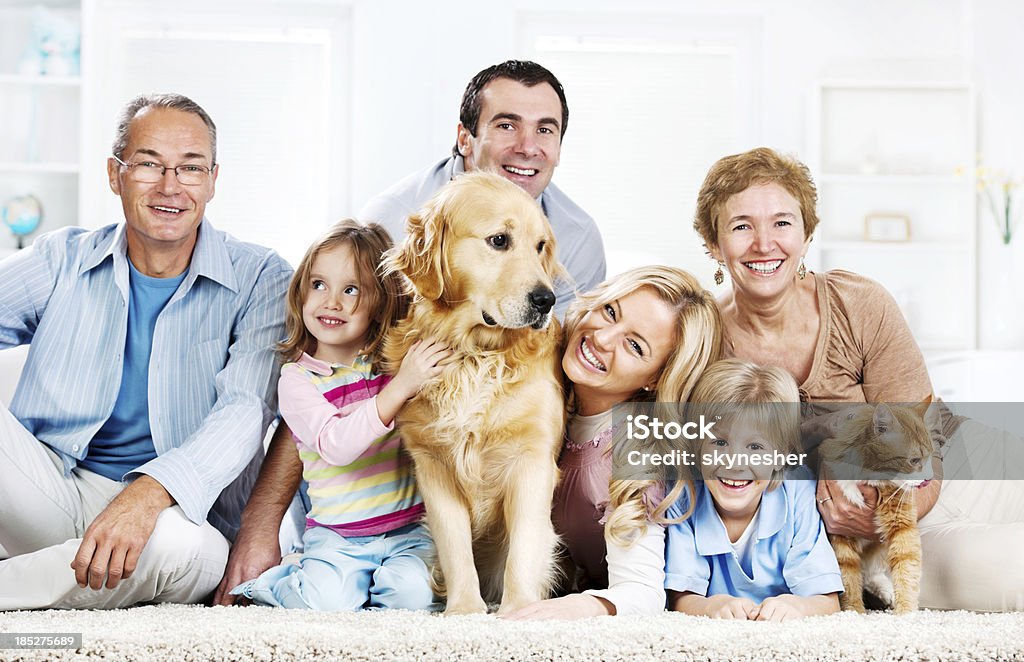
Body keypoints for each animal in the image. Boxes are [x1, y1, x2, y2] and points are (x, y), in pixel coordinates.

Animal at [380, 171, 565, 618]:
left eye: (540, 246)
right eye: (499, 240)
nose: (546, 300)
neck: (475, 354)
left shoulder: (532, 458)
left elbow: (523, 548)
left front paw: (518, 610)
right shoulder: (432, 462)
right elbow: (456, 546)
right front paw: (465, 610)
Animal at [815, 399, 937, 618]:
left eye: (930, 457)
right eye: (914, 460)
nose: (929, 479)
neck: (872, 478)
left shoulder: (902, 525)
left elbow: (907, 568)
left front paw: (906, 612)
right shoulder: (839, 534)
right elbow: (848, 578)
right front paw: (854, 612)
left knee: (872, 572)